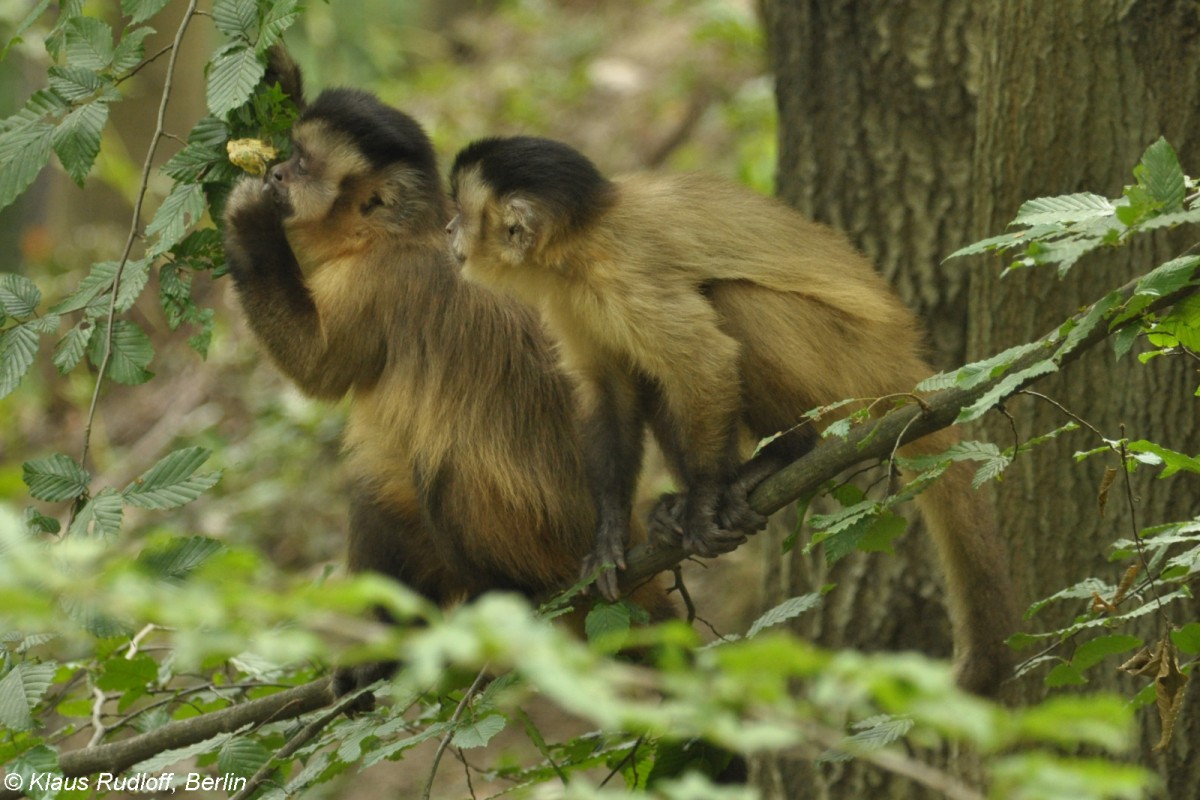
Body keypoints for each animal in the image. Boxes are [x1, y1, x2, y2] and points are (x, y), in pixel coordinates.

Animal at [225, 64, 676, 700]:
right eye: (290, 152)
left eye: (304, 164)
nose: (277, 172)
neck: (396, 234)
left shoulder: (382, 278)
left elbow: (319, 370)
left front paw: (249, 222)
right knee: (379, 487)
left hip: (550, 532)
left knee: (439, 466)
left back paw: (507, 597)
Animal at [446, 136, 1017, 695]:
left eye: (459, 212)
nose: (448, 229)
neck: (578, 244)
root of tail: (903, 357)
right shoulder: (567, 295)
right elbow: (608, 391)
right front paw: (610, 535)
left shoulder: (622, 270)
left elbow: (705, 359)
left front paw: (703, 505)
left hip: (850, 364)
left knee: (728, 302)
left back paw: (781, 457)